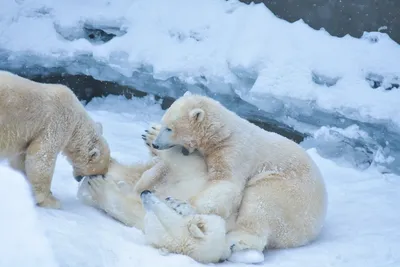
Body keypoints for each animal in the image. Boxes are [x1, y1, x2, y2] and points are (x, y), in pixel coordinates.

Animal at [0, 70, 109, 209]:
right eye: (95, 173)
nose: (78, 179)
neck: (77, 120)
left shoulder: (30, 136)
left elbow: (21, 159)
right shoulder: (57, 122)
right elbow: (42, 157)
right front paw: (50, 200)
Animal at [79, 93, 328, 264]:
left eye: (170, 128)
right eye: (164, 124)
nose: (157, 143)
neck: (225, 133)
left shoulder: (233, 153)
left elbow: (224, 183)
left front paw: (181, 204)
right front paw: (150, 135)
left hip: (287, 190)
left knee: (261, 203)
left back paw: (236, 242)